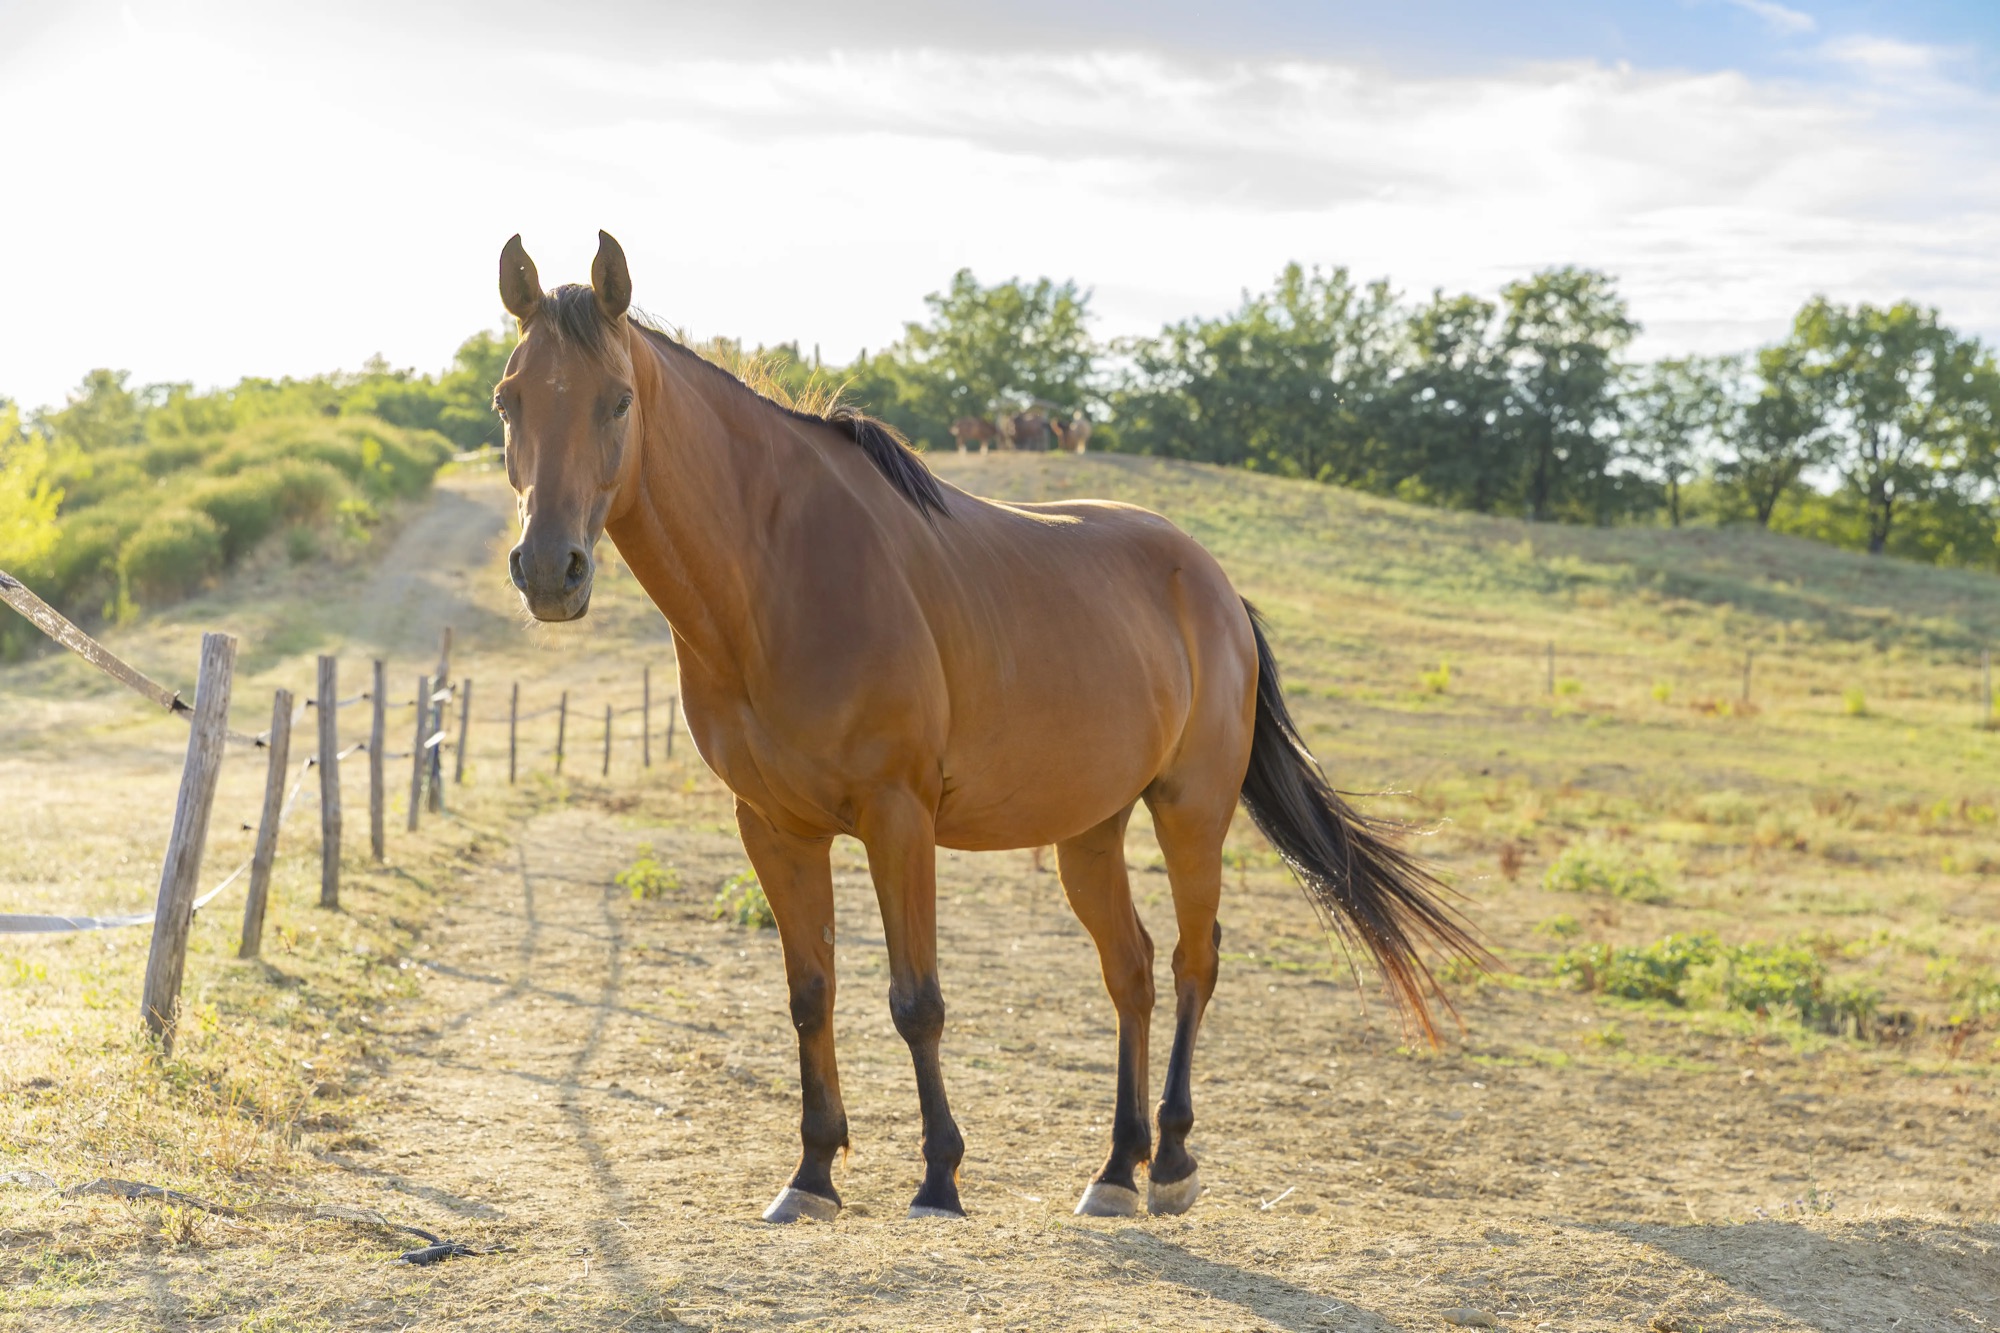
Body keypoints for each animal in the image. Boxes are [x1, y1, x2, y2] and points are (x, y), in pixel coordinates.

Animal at [492, 231, 1477, 1224]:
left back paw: (1170, 1161)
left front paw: (938, 1177)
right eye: (509, 398)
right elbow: (811, 993)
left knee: (1195, 961)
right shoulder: (772, 827)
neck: (780, 573)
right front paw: (812, 1172)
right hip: (1091, 829)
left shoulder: (898, 818)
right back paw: (1116, 1166)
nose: (548, 569)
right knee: (1132, 969)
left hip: (1192, 810)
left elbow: (915, 1000)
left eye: (618, 399)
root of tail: (1213, 584)